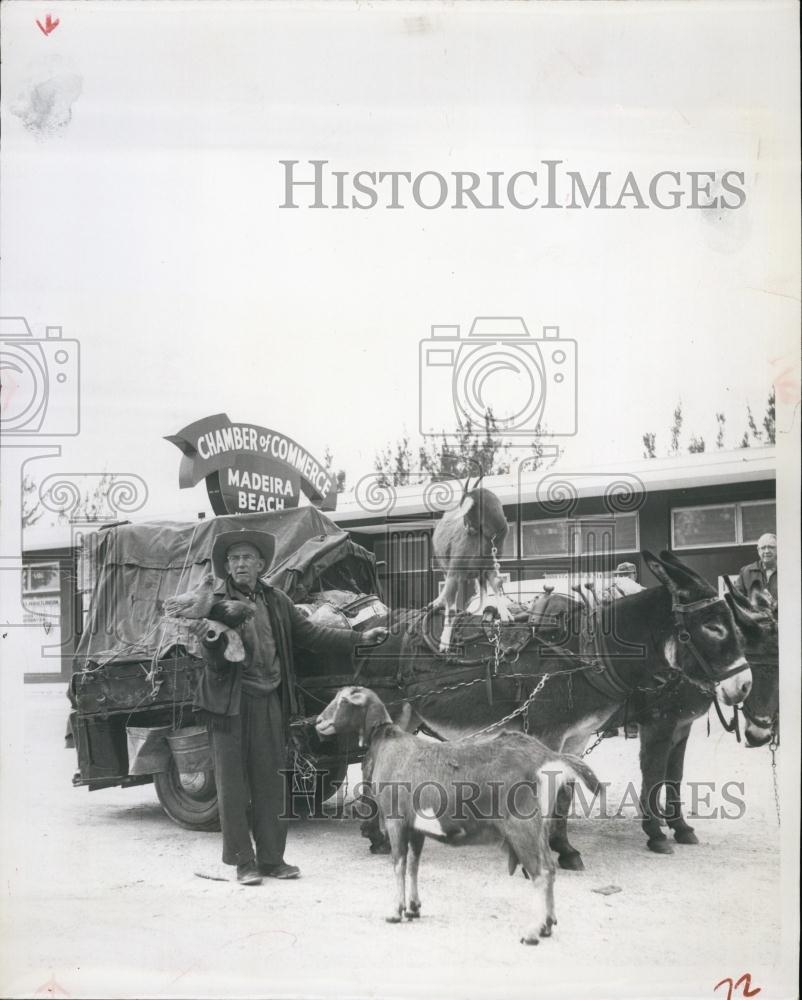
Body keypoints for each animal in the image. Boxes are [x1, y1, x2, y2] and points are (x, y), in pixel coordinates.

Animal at [316, 688, 596, 944]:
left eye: (344, 700)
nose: (318, 721)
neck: (387, 743)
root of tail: (549, 757)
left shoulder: (396, 821)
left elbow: (398, 864)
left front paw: (395, 912)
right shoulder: (417, 827)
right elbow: (414, 864)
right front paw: (413, 908)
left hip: (522, 826)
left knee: (541, 872)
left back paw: (533, 931)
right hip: (539, 828)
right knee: (549, 867)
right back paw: (547, 925)